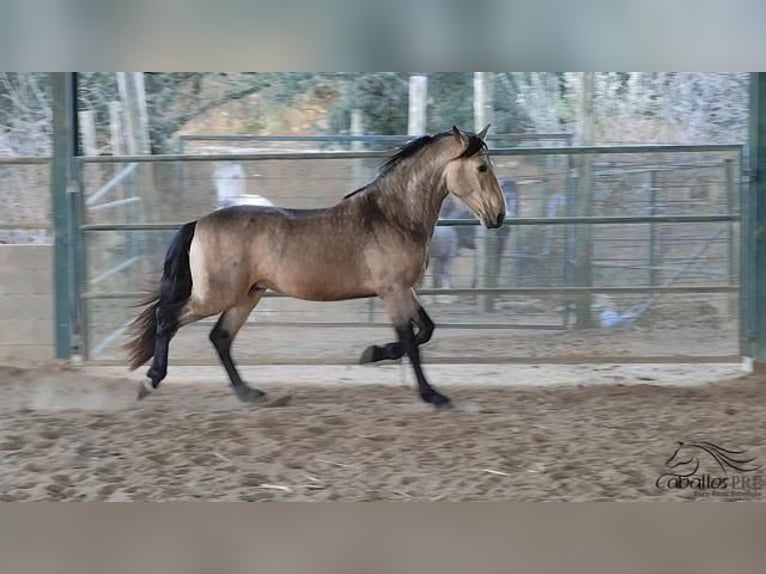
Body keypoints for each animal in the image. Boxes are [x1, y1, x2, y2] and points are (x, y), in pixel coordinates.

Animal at [124, 127, 510, 410]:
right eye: (481, 168)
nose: (498, 216)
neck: (393, 216)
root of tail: (198, 223)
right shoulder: (393, 291)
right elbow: (411, 341)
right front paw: (433, 395)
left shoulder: (405, 289)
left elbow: (425, 330)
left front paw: (372, 354)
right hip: (215, 295)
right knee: (167, 318)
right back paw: (150, 380)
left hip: (247, 295)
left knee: (220, 338)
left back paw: (251, 393)